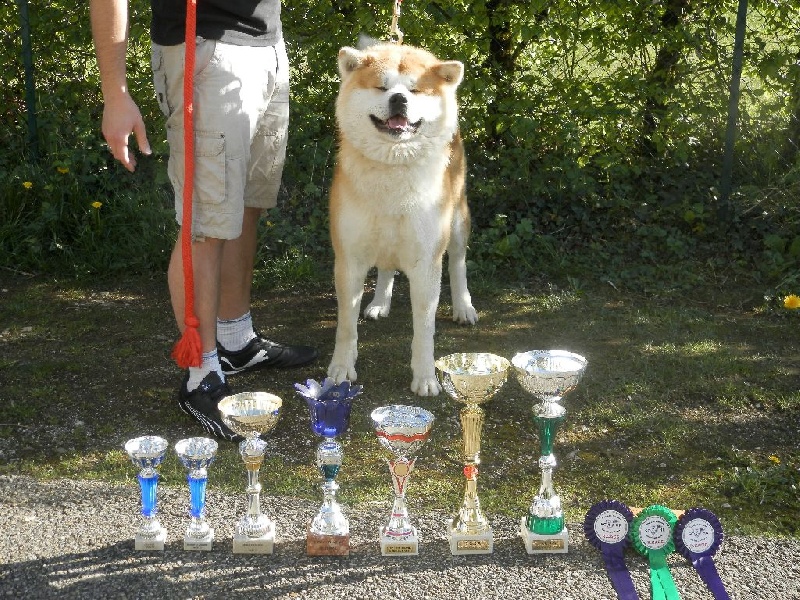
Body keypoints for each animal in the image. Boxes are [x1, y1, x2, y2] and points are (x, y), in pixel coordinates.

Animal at [324, 44, 476, 396]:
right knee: (386, 267)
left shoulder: (427, 261)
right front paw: (341, 368)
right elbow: (346, 324)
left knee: (458, 262)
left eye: (415, 89)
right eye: (382, 87)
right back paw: (380, 302)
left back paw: (463, 307)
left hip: (457, 220)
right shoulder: (349, 258)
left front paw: (425, 377)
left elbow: (424, 328)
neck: (392, 169)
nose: (398, 100)